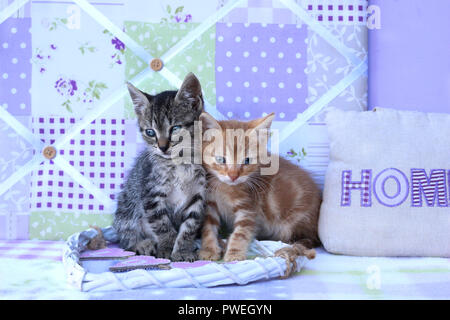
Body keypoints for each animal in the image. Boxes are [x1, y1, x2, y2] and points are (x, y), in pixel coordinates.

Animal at [115, 74, 208, 262]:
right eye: (150, 132)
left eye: (175, 128)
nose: (163, 147)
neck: (179, 164)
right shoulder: (151, 195)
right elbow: (162, 225)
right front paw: (167, 248)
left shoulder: (197, 196)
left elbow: (189, 226)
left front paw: (183, 250)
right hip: (126, 208)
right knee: (125, 237)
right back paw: (143, 244)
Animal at [199, 111, 322, 266]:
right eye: (221, 159)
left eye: (247, 160)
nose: (233, 176)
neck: (226, 188)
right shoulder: (210, 204)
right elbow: (208, 227)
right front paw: (208, 250)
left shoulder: (248, 208)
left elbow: (241, 232)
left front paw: (234, 254)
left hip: (293, 225)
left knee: (305, 240)